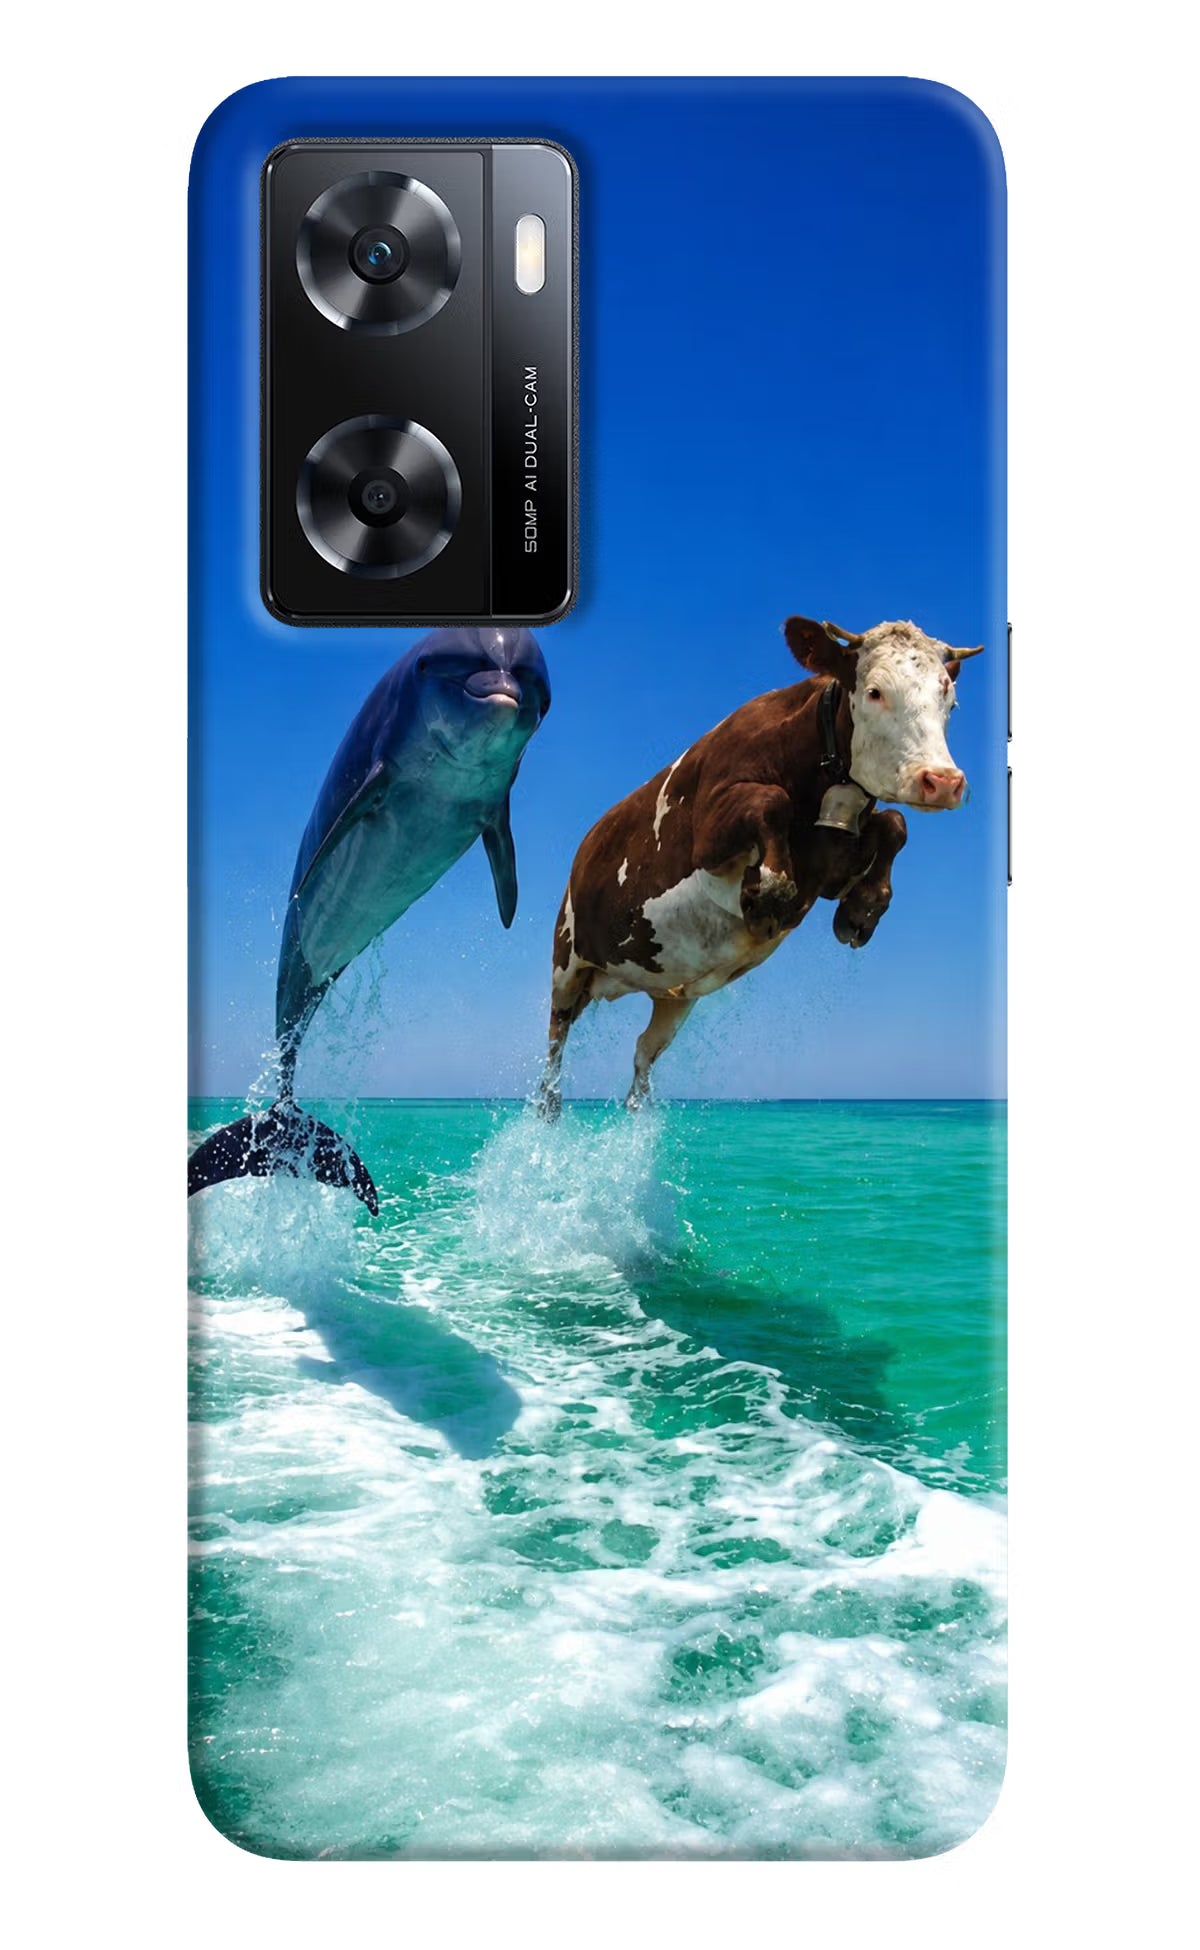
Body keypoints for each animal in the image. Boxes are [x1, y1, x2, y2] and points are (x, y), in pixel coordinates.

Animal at [537, 615, 984, 1116]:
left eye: (950, 699)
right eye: (874, 691)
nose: (942, 781)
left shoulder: (831, 866)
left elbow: (894, 823)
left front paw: (862, 910)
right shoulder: (709, 834)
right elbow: (772, 801)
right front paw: (768, 894)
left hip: (673, 995)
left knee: (642, 1053)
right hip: (566, 961)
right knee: (554, 1044)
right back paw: (549, 1107)